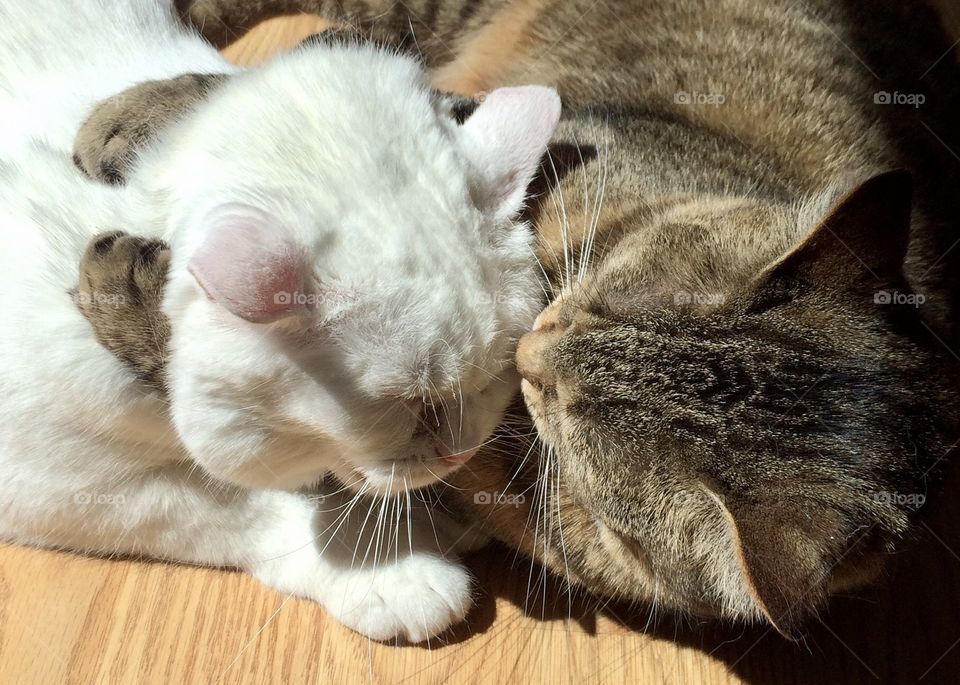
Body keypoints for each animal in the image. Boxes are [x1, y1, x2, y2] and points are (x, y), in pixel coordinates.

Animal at [0, 0, 560, 640]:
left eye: (492, 381)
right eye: (406, 405)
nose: (459, 456)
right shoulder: (58, 484)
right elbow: (240, 511)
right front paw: (395, 567)